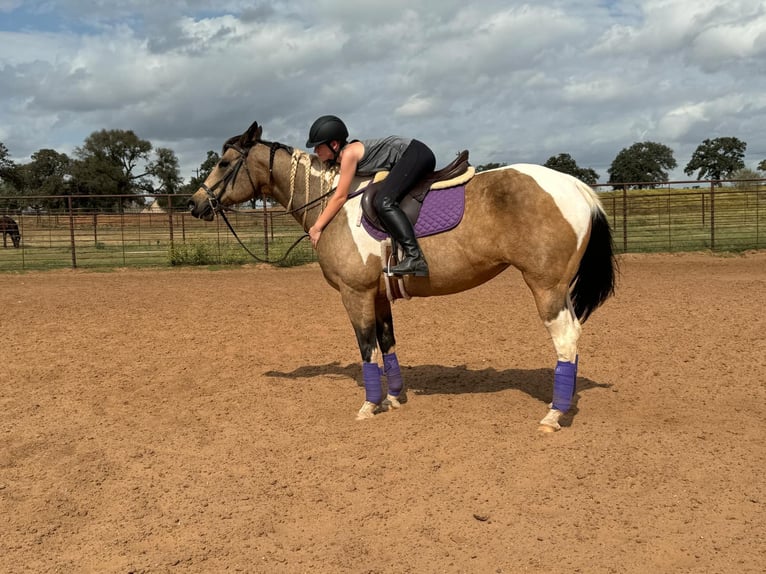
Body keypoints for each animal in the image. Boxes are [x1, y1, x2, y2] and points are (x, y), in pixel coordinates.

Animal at [188, 121, 616, 431]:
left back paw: (553, 415)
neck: (333, 204)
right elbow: (388, 344)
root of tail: (576, 187)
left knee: (566, 338)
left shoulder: (355, 293)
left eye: (224, 163)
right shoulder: (378, 295)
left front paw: (368, 405)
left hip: (546, 286)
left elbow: (367, 348)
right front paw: (393, 399)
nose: (194, 205)